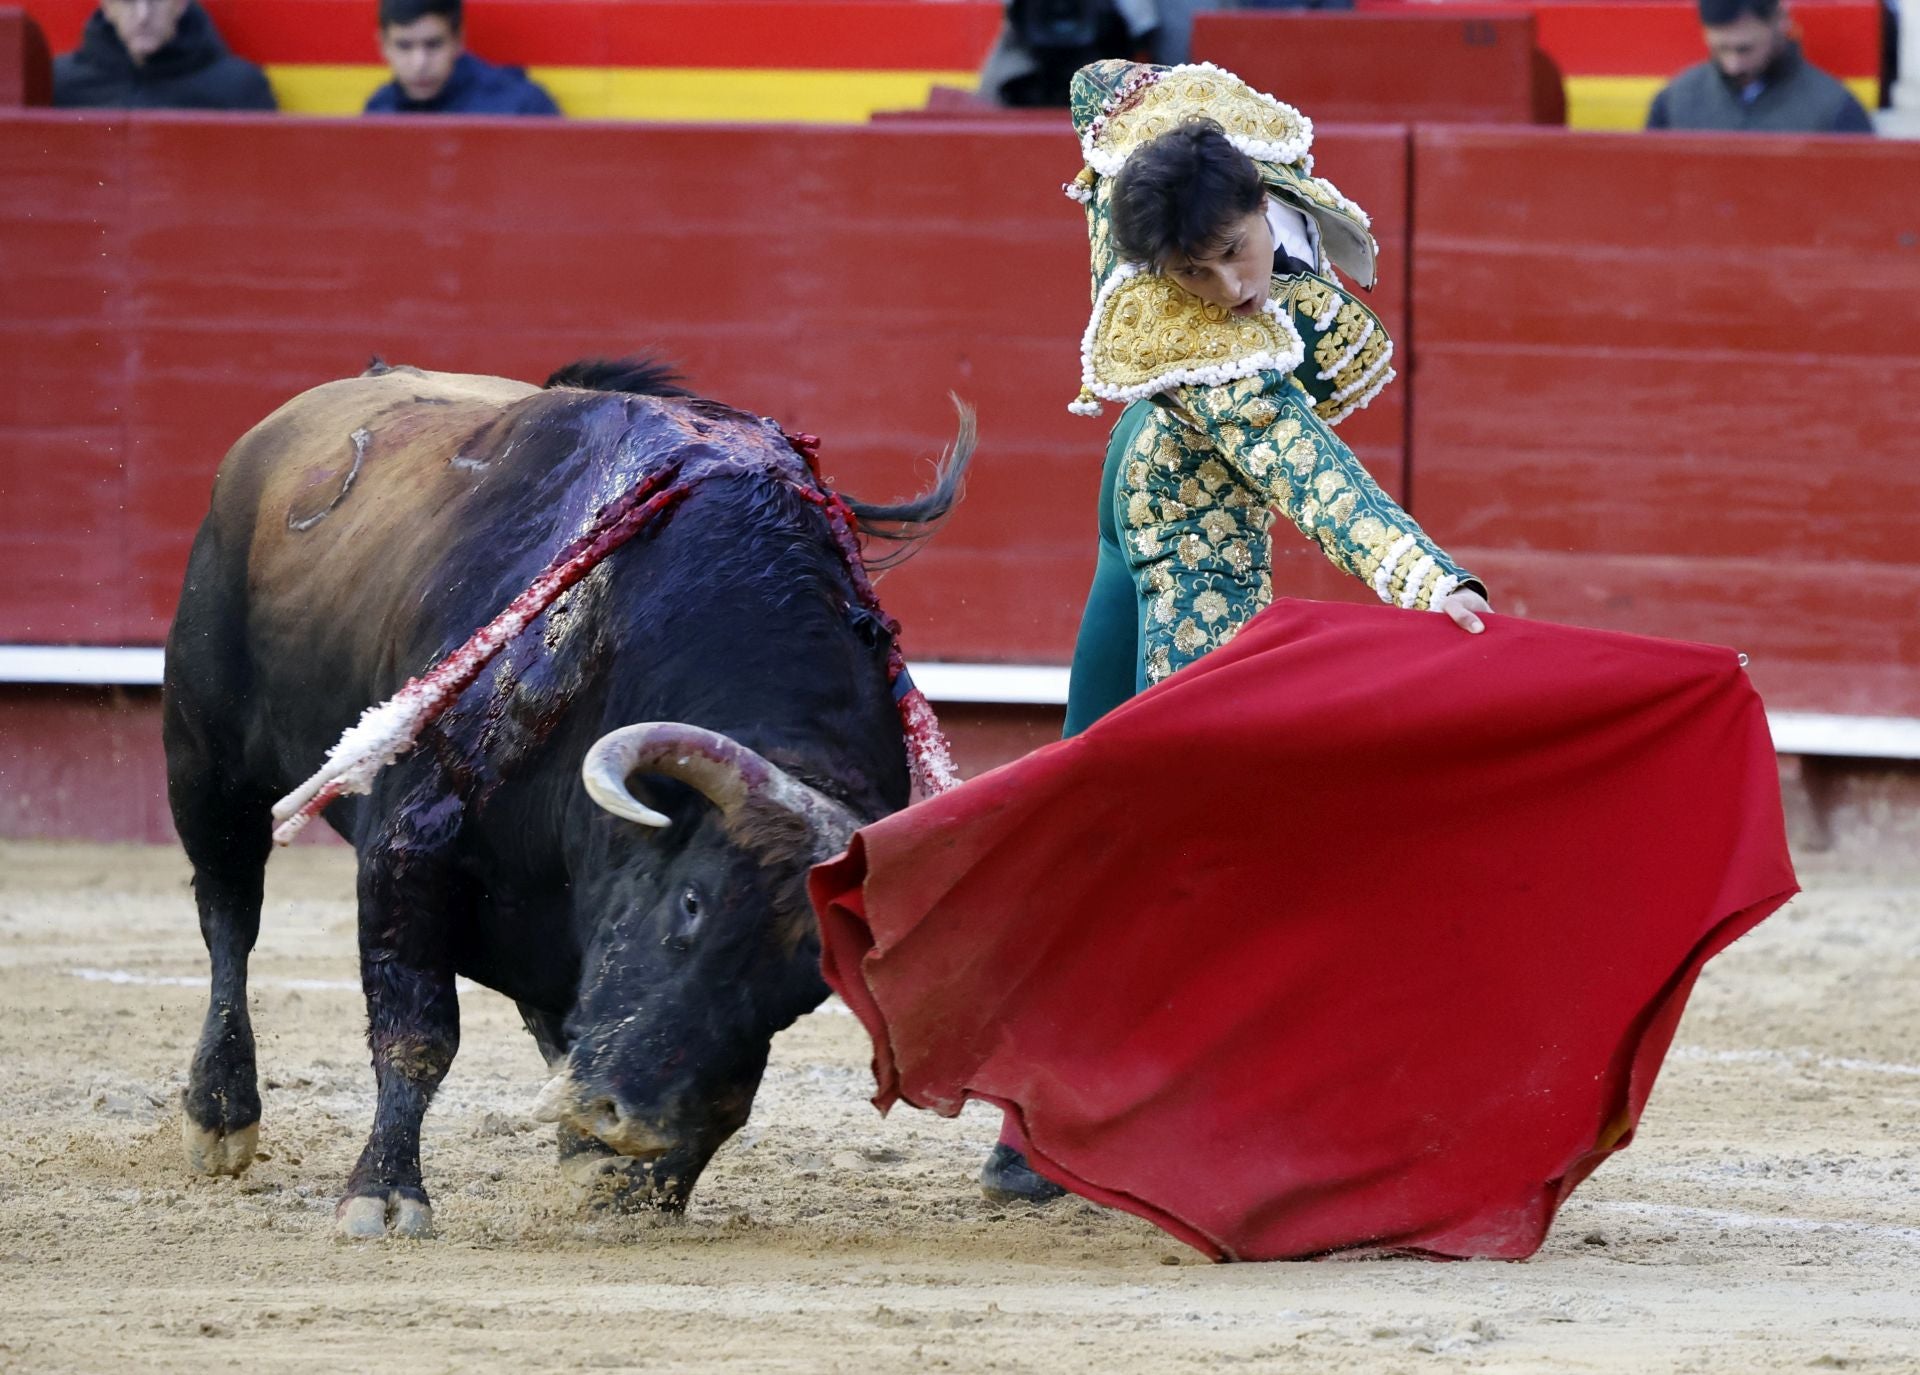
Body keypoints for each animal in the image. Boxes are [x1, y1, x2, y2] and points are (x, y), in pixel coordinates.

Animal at [163, 359, 967, 1244]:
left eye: (815, 980)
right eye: (692, 901)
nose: (640, 1124)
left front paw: (623, 1177)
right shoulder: (408, 852)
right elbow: (418, 1034)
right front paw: (383, 1193)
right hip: (206, 765)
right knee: (230, 917)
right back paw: (220, 1114)